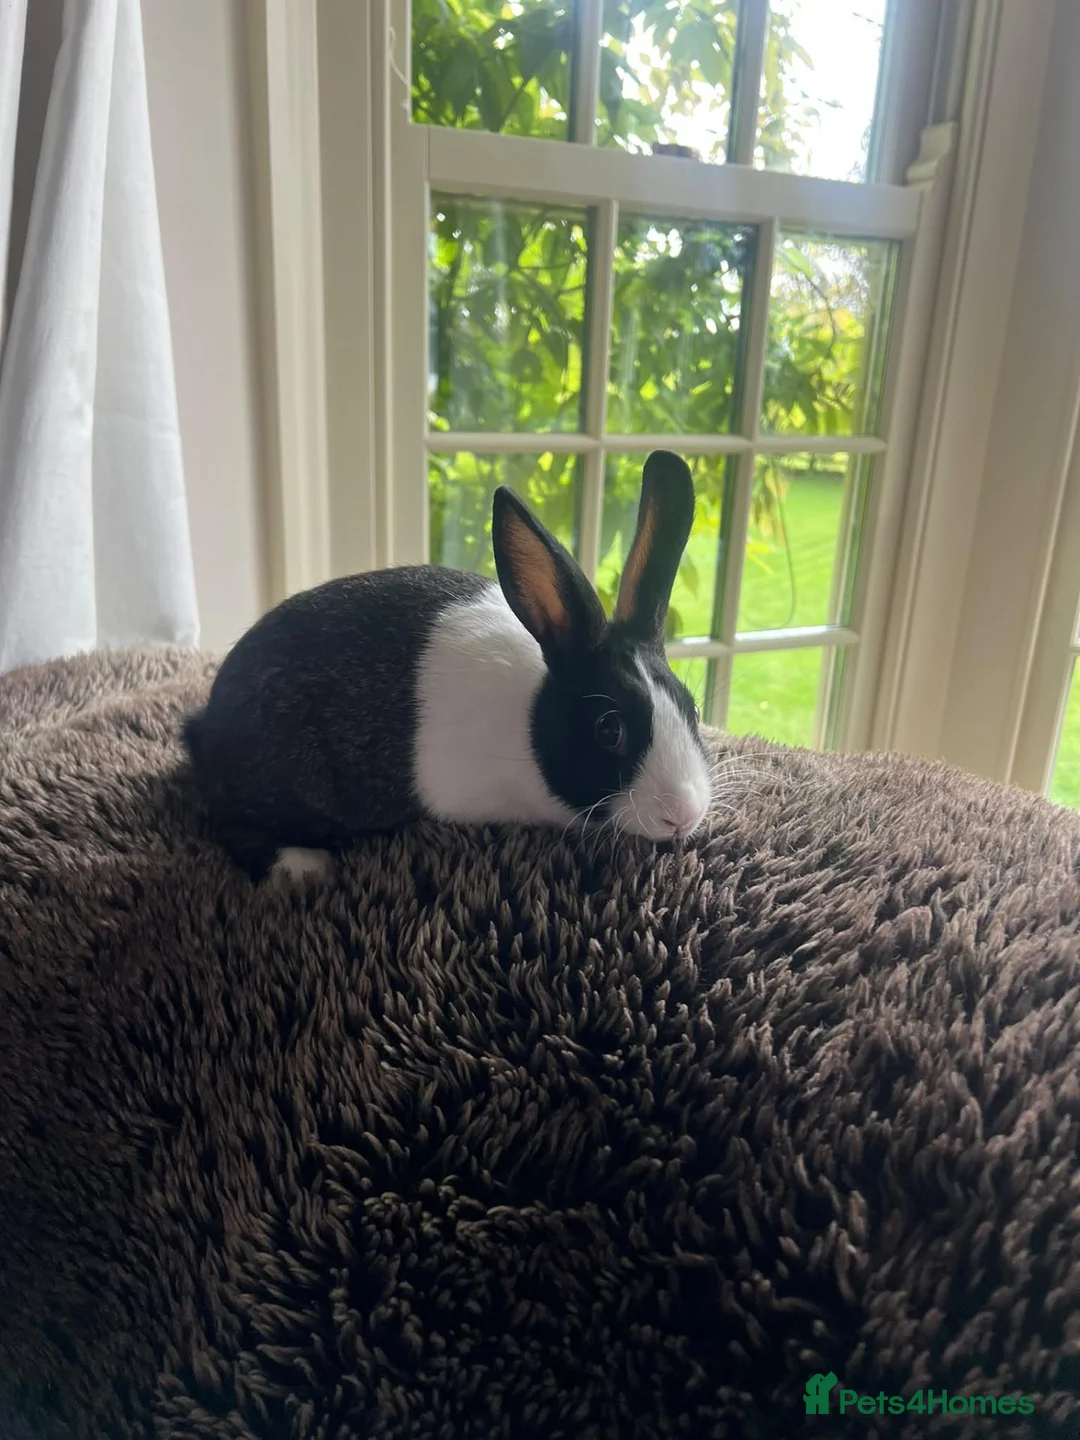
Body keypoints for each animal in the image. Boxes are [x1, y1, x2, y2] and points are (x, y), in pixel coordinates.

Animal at [183, 449, 712, 882]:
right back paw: (302, 867)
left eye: (693, 710)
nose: (683, 816)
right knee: (229, 822)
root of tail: (207, 725)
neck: (532, 719)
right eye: (609, 729)